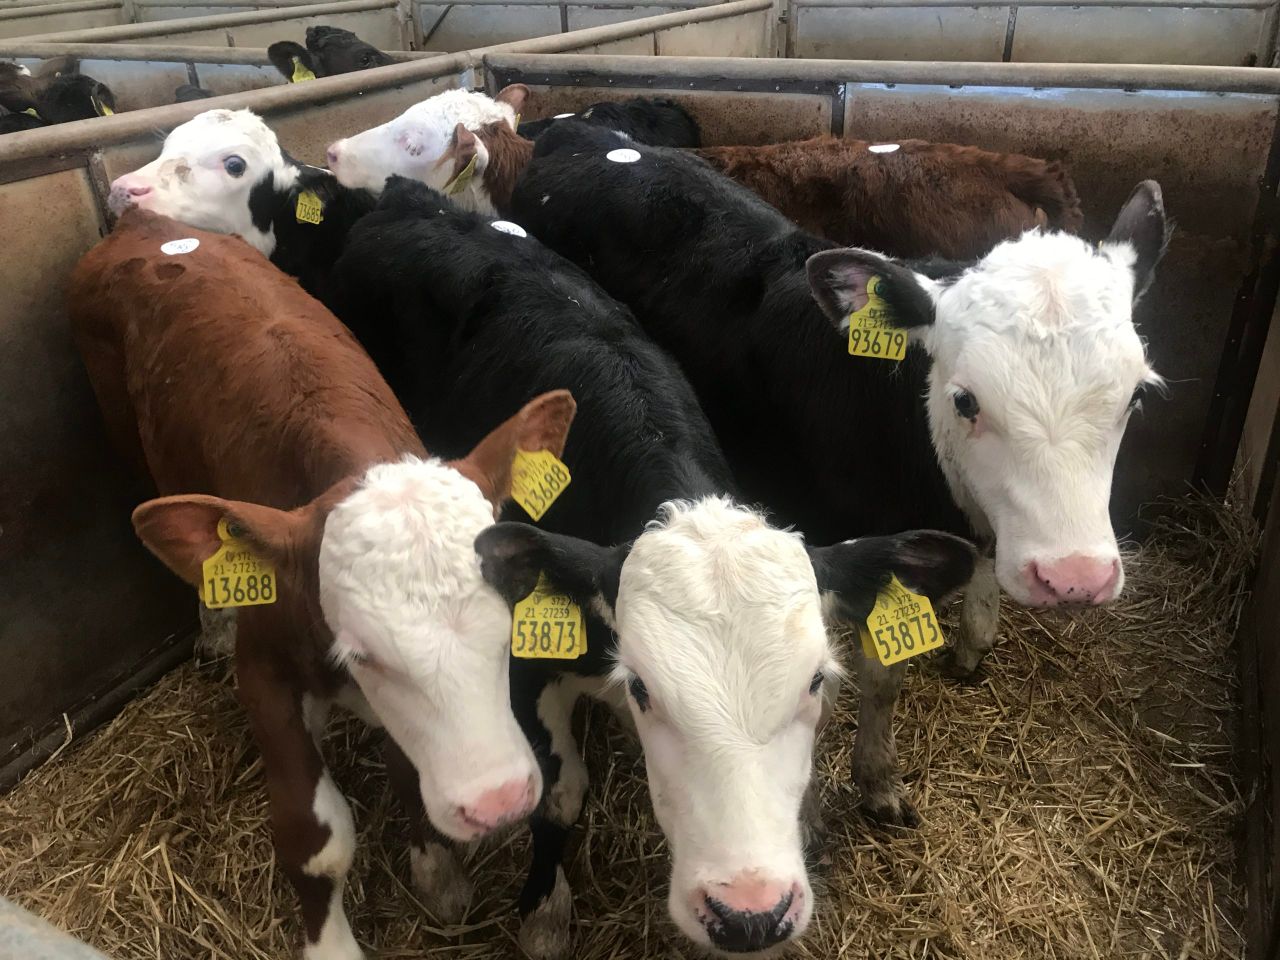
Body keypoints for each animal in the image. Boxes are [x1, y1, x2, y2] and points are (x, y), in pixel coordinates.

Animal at [68, 209, 577, 960]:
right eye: (362, 652)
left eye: (510, 614)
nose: (499, 801)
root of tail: (143, 221)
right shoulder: (265, 672)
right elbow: (315, 840)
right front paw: (331, 941)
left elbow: (406, 764)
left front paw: (436, 870)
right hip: (126, 439)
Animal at [324, 176, 977, 957]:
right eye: (641, 689)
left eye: (817, 680)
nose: (749, 913)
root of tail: (406, 195)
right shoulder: (528, 663)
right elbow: (559, 794)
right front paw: (545, 911)